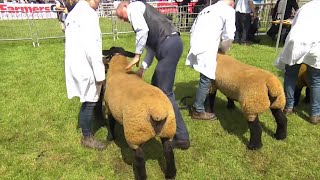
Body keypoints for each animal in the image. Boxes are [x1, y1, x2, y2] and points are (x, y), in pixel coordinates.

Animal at [102, 47, 178, 180]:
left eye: (110, 52)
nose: (102, 51)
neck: (119, 70)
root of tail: (158, 111)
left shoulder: (108, 107)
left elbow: (110, 123)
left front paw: (110, 138)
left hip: (135, 134)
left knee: (140, 159)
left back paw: (140, 176)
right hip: (168, 130)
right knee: (169, 152)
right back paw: (170, 175)